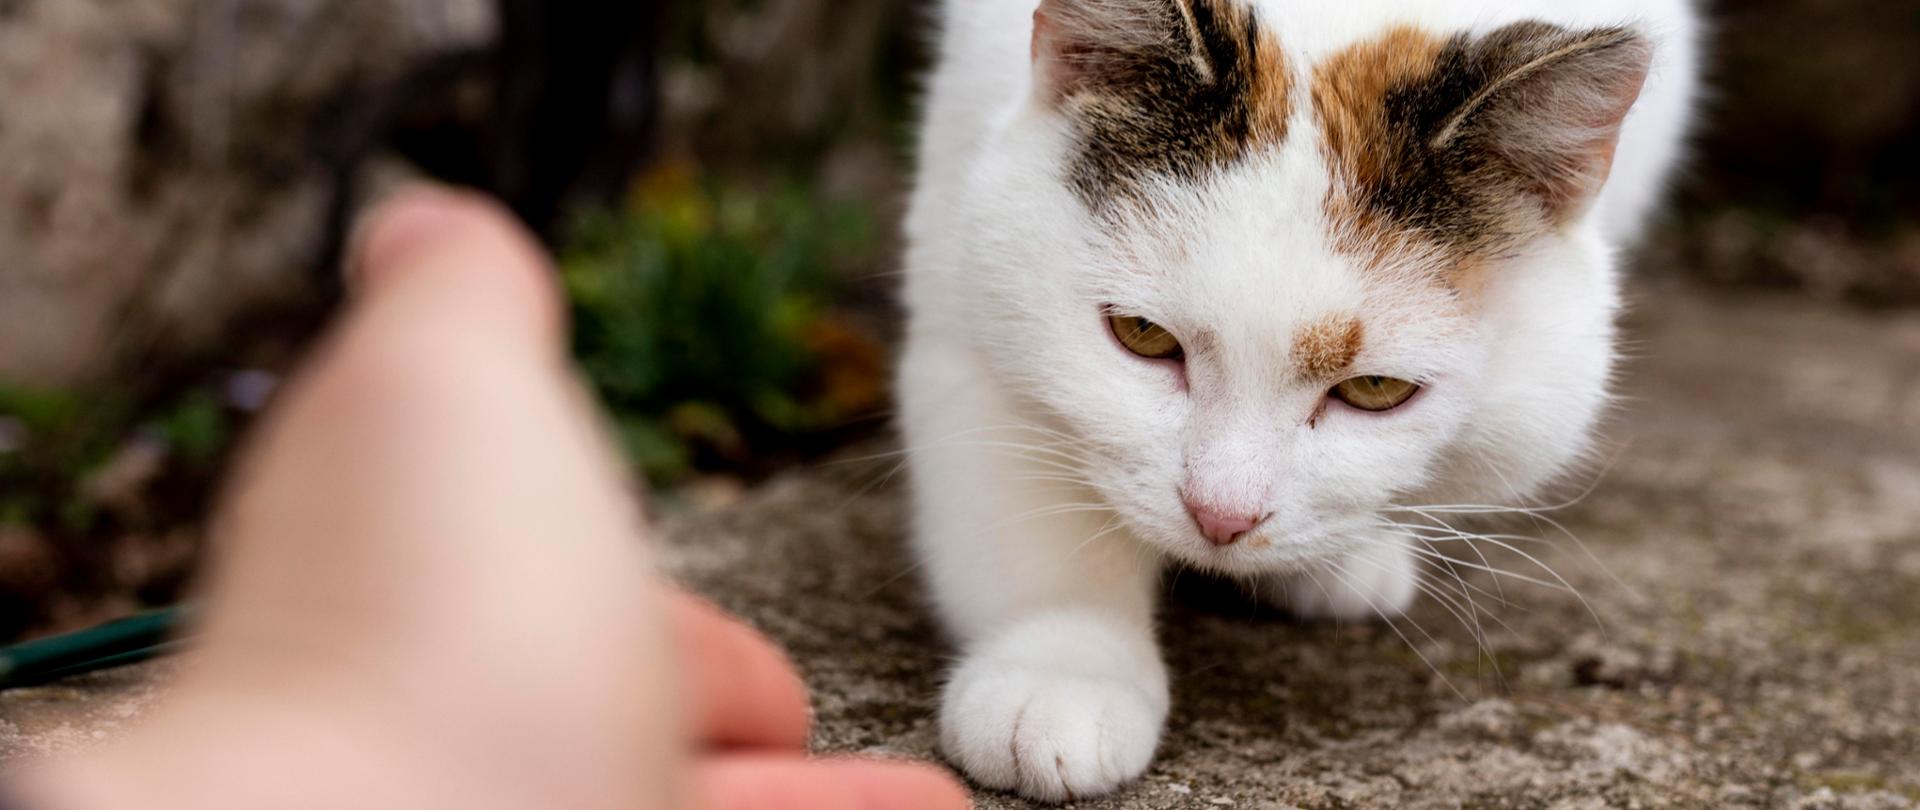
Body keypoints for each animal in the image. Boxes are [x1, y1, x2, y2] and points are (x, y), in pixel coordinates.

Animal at [890, 0, 1704, 798]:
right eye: (1142, 335)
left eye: (1375, 389)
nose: (1220, 516)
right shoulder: (964, 271)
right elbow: (1029, 503)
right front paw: (1062, 667)